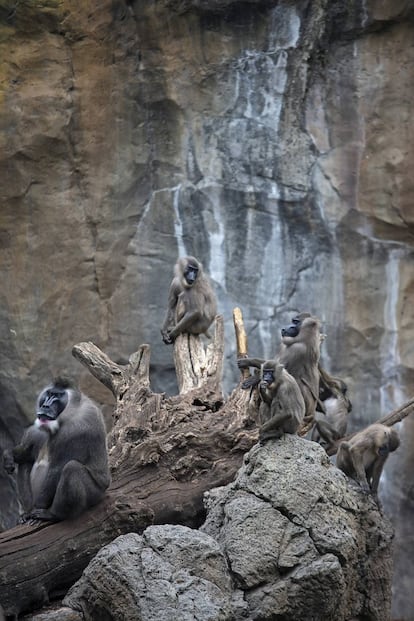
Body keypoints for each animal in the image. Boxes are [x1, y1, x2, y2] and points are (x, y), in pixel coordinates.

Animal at [10, 376, 111, 520]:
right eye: (49, 394)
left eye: (57, 396)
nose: (45, 406)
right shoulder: (35, 434)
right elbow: (25, 456)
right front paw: (12, 456)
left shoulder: (75, 431)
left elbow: (57, 468)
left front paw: (40, 508)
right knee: (25, 462)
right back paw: (26, 511)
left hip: (95, 494)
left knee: (72, 468)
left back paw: (53, 514)